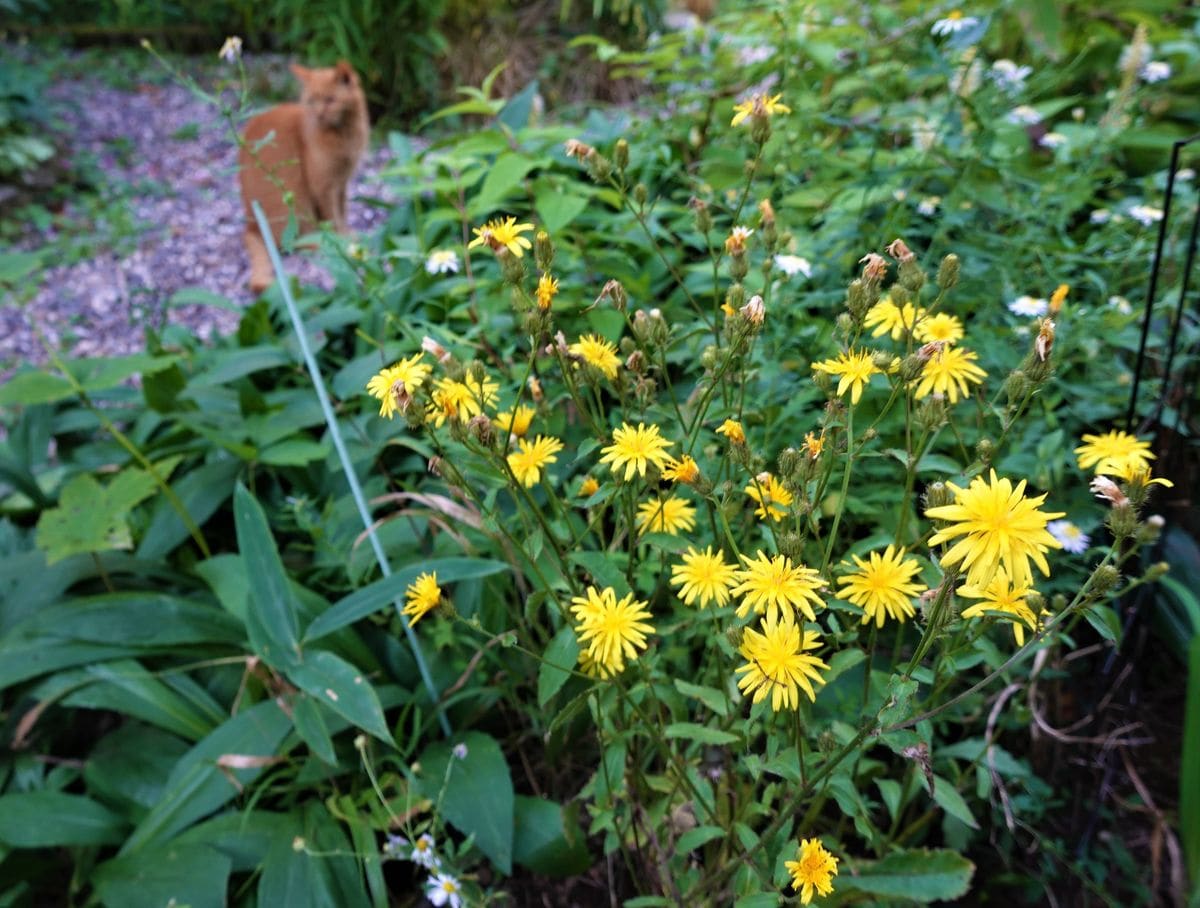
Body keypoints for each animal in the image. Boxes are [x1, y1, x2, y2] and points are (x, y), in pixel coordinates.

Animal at [234, 60, 364, 290]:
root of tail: (252, 226)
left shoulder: (341, 184)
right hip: (298, 204)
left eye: (330, 100)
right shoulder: (323, 187)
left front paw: (347, 235)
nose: (319, 114)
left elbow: (342, 213)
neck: (344, 135)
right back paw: (323, 245)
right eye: (311, 101)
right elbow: (333, 217)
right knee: (298, 243)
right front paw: (341, 241)